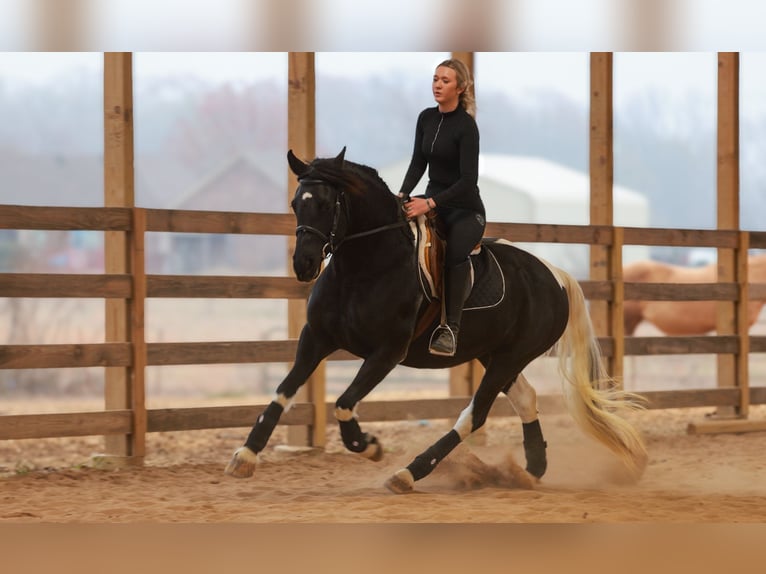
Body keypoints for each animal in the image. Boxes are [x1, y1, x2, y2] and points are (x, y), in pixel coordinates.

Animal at [225, 148, 648, 493]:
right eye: (297, 203)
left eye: (329, 204)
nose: (304, 264)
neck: (363, 267)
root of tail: (555, 275)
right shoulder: (316, 338)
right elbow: (283, 392)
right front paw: (245, 456)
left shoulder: (386, 352)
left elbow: (344, 404)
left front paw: (371, 446)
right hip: (494, 354)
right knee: (525, 399)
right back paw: (531, 469)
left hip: (511, 357)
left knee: (473, 416)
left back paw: (409, 473)